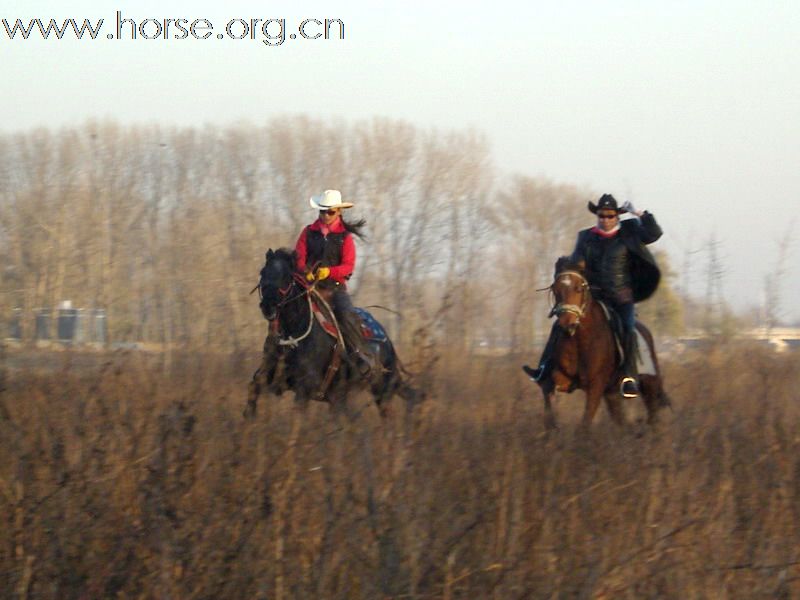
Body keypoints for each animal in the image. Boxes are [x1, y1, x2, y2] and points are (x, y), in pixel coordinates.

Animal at [244, 247, 422, 418]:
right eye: (262, 272)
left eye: (286, 276)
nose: (268, 306)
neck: (293, 337)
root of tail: (388, 342)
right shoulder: (271, 376)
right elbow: (254, 387)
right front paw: (250, 418)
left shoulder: (304, 387)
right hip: (342, 397)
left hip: (382, 387)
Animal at [536, 255, 668, 428]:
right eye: (556, 289)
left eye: (578, 288)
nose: (566, 323)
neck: (580, 341)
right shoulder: (562, 379)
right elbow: (550, 396)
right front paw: (552, 425)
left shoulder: (595, 386)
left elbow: (585, 424)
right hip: (612, 394)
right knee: (620, 420)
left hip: (649, 386)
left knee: (653, 417)